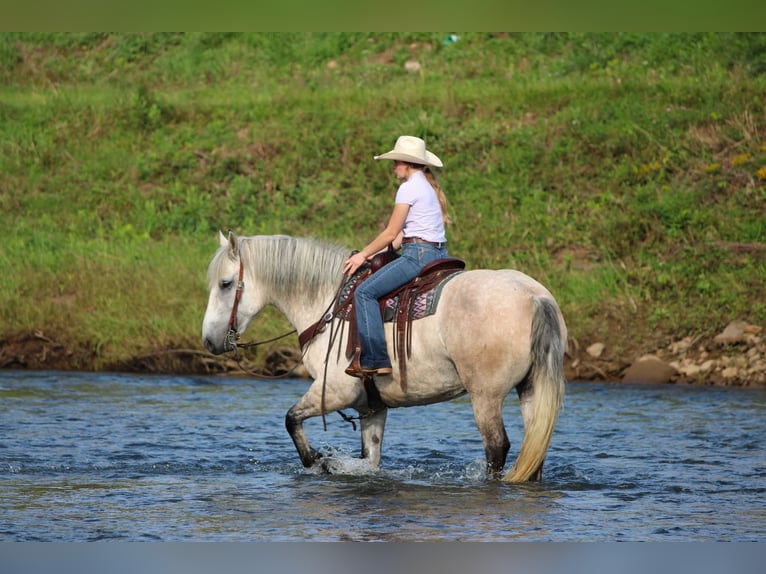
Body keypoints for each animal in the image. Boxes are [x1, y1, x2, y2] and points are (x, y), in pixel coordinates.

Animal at [202, 231, 567, 482]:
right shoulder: (370, 406)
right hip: (531, 389)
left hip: (486, 396)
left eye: (226, 283)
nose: (209, 340)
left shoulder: (335, 390)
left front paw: (317, 461)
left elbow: (291, 419)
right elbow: (371, 457)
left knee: (497, 447)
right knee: (534, 448)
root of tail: (535, 297)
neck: (329, 304)